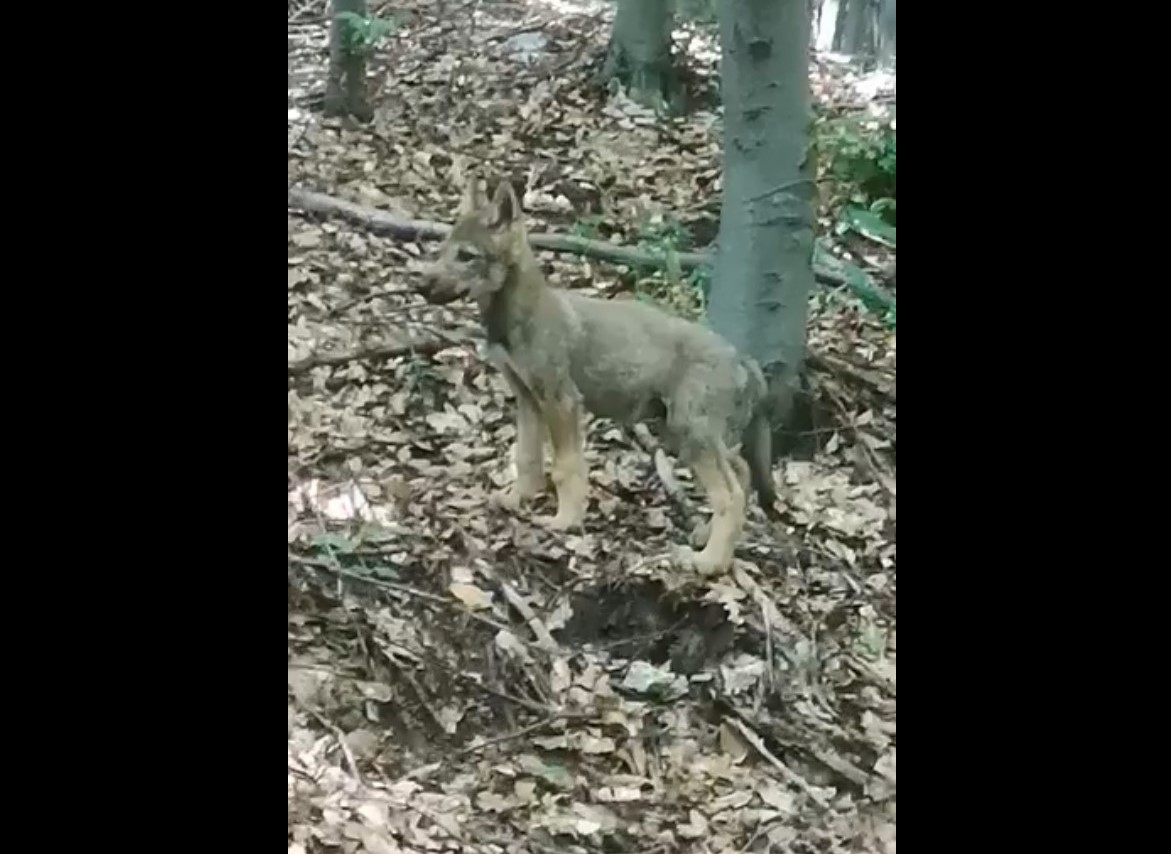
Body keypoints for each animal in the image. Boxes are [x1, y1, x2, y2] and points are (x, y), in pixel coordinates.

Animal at [417, 171, 779, 575]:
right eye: (443, 250)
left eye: (467, 256)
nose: (419, 284)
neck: (518, 316)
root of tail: (744, 359)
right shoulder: (527, 397)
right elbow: (527, 458)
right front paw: (516, 499)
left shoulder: (561, 400)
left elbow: (565, 468)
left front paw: (564, 521)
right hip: (688, 432)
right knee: (742, 474)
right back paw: (707, 538)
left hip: (691, 432)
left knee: (730, 494)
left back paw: (709, 562)